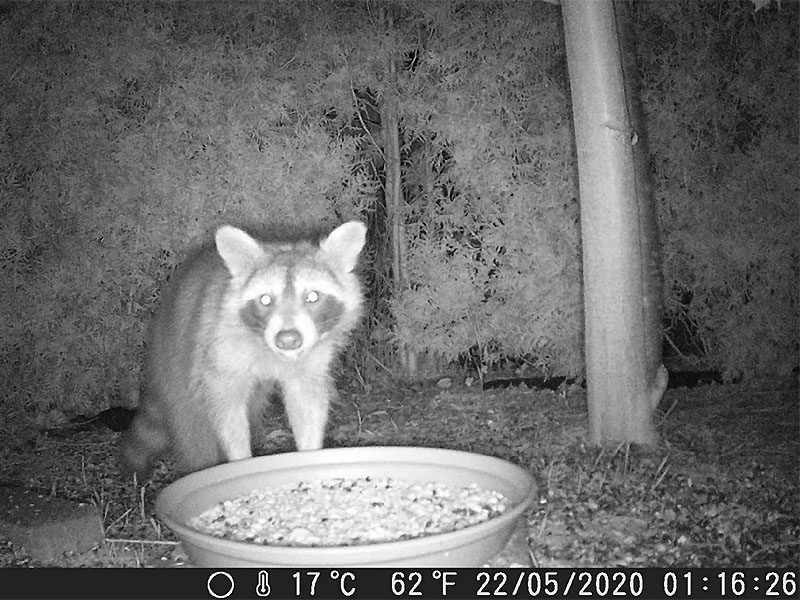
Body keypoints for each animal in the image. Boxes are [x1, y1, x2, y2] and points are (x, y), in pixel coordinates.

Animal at [118, 220, 366, 478]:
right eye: (265, 300)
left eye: (313, 296)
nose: (288, 339)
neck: (275, 353)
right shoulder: (219, 347)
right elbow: (227, 411)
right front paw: (240, 459)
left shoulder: (311, 356)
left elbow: (307, 401)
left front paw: (310, 451)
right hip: (177, 353)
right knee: (192, 424)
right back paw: (200, 462)